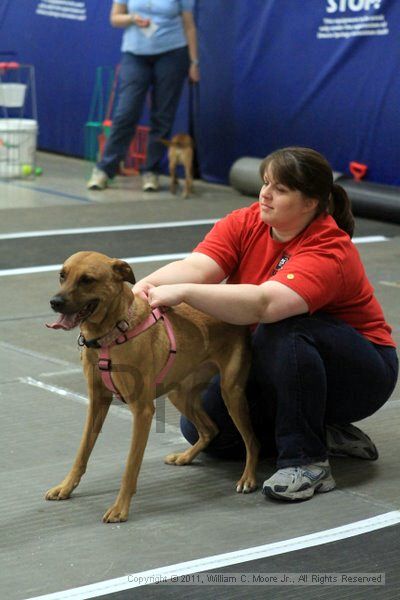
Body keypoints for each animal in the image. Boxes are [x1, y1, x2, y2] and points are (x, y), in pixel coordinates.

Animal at [45, 251, 260, 524]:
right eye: (62, 275)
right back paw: (185, 457)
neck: (111, 334)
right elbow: (82, 452)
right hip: (180, 394)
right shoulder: (97, 403)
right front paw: (66, 487)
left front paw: (120, 508)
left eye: (87, 280)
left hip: (231, 393)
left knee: (252, 441)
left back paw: (248, 478)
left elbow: (131, 465)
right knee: (210, 429)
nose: (55, 302)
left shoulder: (142, 410)